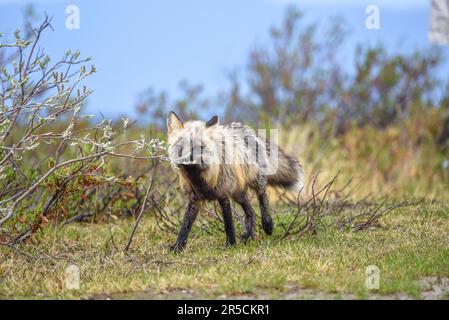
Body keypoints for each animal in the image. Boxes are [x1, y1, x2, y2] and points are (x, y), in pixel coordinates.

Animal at [166, 112, 302, 252]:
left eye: (199, 148)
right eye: (181, 148)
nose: (185, 161)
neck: (200, 180)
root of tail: (247, 130)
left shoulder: (223, 194)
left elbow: (229, 224)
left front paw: (230, 244)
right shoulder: (195, 198)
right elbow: (185, 225)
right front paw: (177, 247)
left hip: (255, 182)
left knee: (262, 197)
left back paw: (267, 225)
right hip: (238, 194)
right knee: (251, 212)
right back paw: (248, 236)